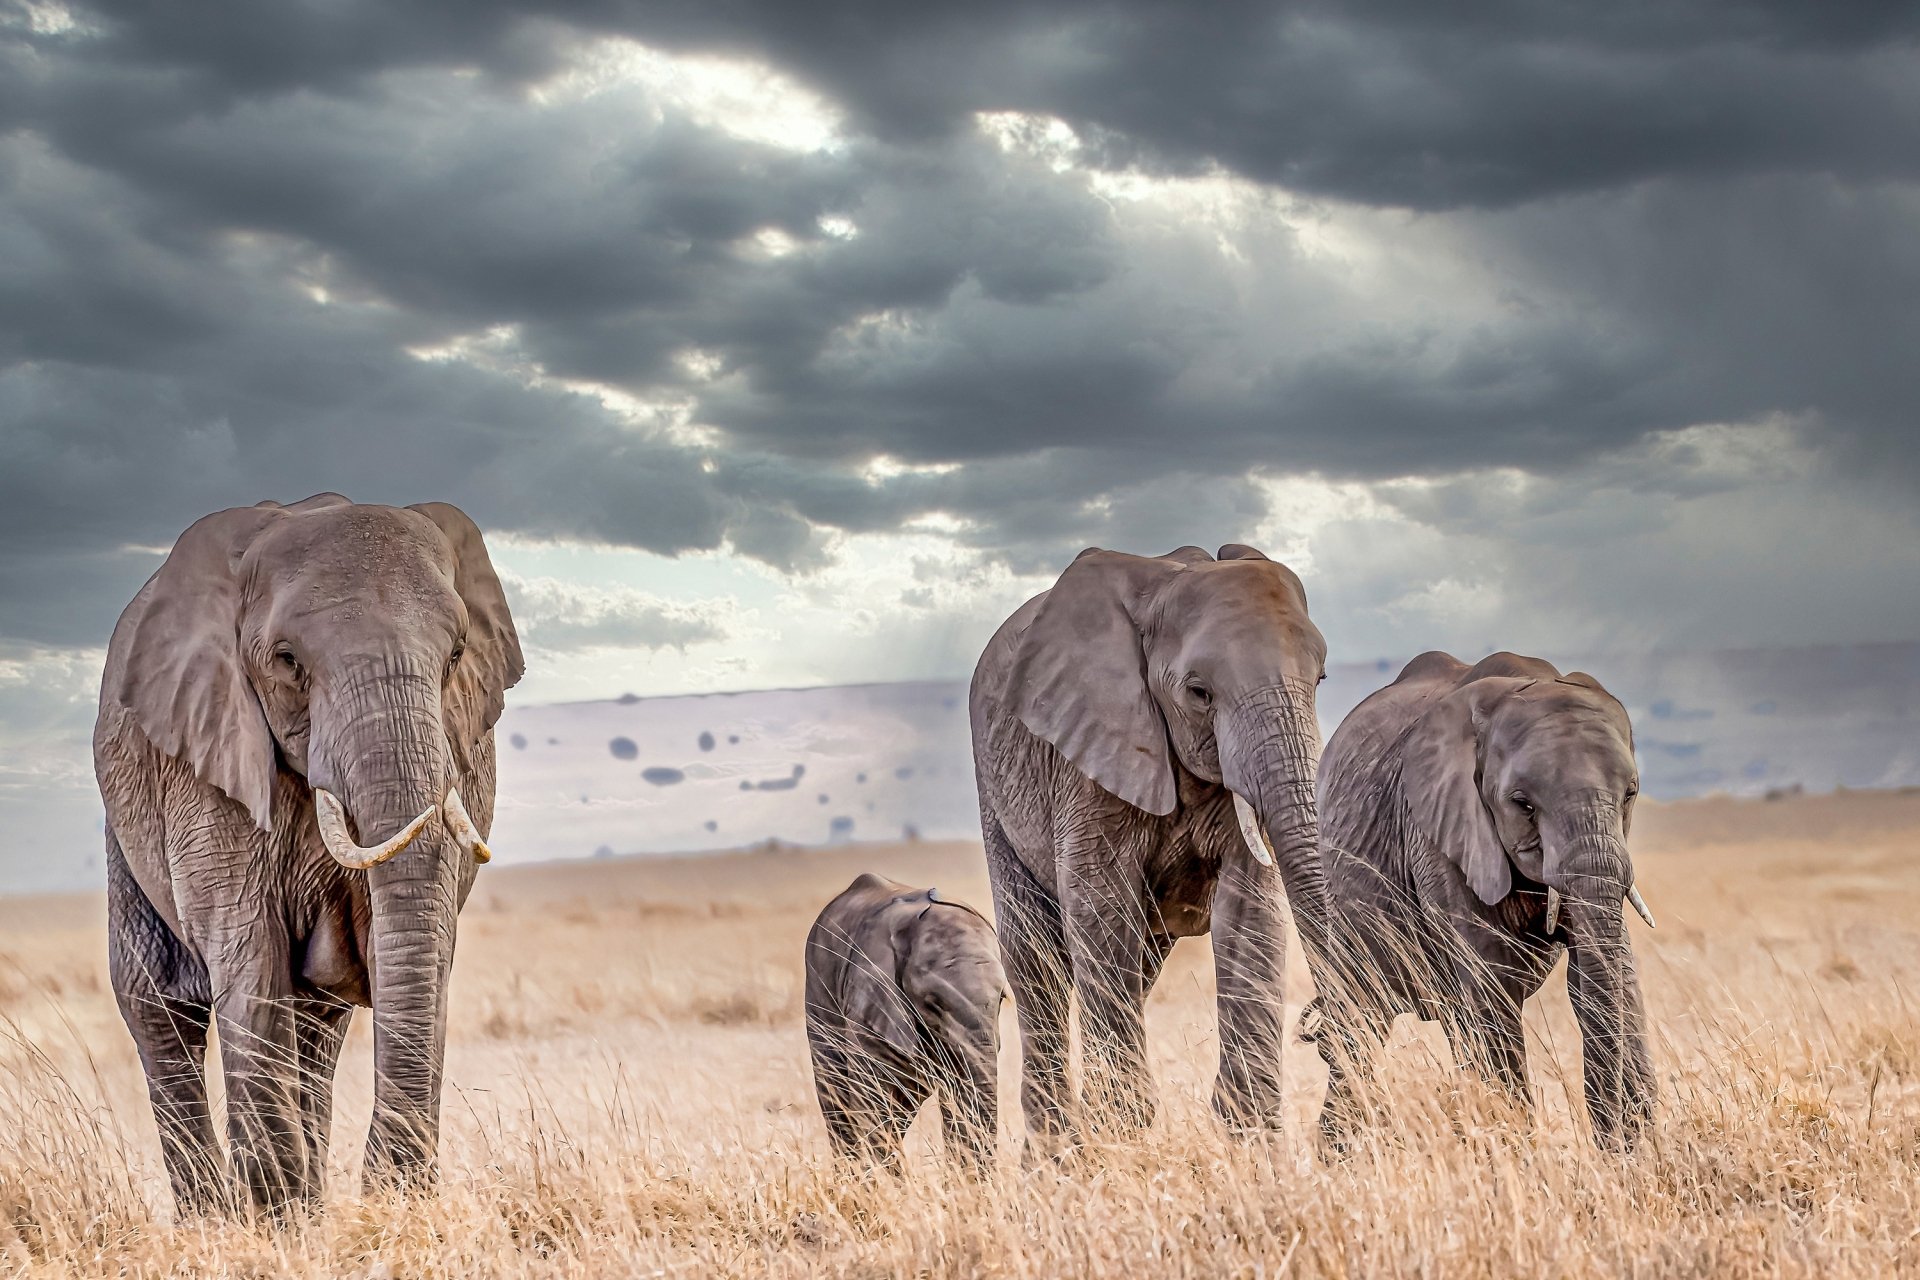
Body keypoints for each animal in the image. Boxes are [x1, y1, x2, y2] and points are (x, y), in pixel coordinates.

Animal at [93, 494, 523, 1215]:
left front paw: (378, 1207)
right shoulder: (206, 755)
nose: (388, 1191)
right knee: (160, 1006)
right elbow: (250, 956)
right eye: (288, 661)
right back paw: (214, 1220)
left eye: (457, 654)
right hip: (122, 823)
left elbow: (410, 944)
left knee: (317, 1022)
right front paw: (277, 1221)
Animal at [804, 874, 1008, 1174]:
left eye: (1002, 998)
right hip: (818, 997)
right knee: (836, 1096)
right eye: (933, 1003)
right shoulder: (870, 1001)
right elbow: (873, 1103)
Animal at [970, 544, 1336, 1151]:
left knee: (1135, 968)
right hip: (995, 796)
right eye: (1199, 693)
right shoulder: (1084, 756)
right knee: (1038, 964)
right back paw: (1059, 1156)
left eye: (1321, 679)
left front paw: (1253, 1142)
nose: (1315, 1023)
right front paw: (1126, 1137)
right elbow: (1100, 909)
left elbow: (1250, 913)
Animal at [1309, 651, 1657, 1152]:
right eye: (1523, 804)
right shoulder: (1437, 830)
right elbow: (1491, 984)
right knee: (1360, 1021)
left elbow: (1610, 974)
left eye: (1629, 794)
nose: (1614, 1151)